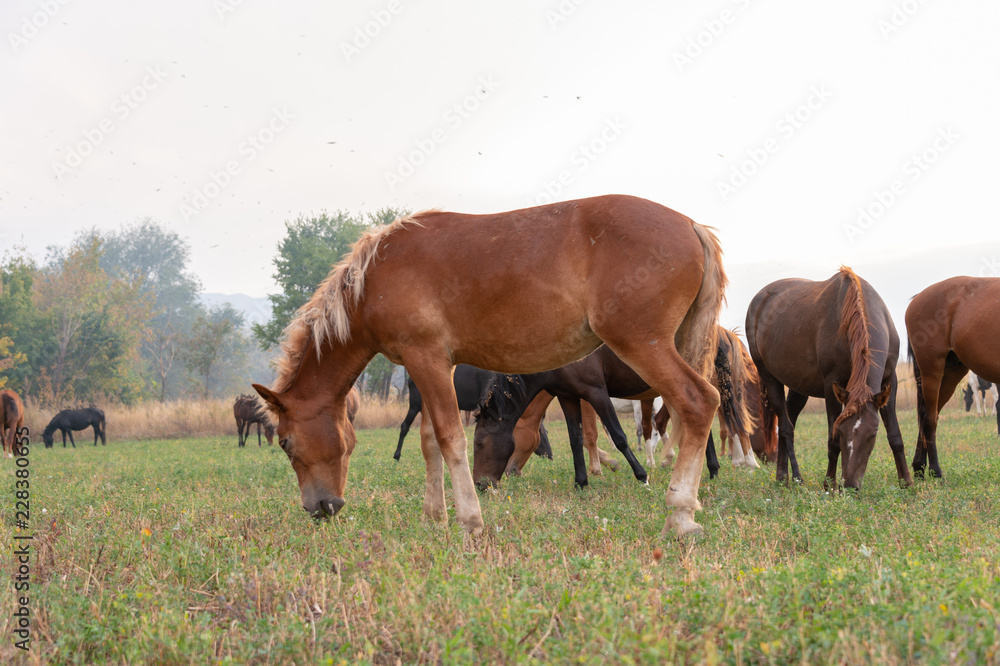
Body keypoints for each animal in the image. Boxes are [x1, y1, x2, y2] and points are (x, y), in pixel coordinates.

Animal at [252, 193, 728, 536]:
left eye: (285, 443)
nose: (320, 507)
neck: (375, 277)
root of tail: (690, 225)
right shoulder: (431, 367)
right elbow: (429, 442)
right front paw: (435, 515)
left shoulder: (426, 358)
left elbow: (449, 439)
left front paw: (470, 520)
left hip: (643, 344)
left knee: (699, 402)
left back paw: (680, 515)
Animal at [744, 266, 916, 488]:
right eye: (841, 432)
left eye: (872, 435)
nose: (850, 484)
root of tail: (758, 300)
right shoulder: (831, 385)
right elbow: (832, 442)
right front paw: (830, 485)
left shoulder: (889, 381)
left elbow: (895, 434)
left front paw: (907, 482)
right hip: (770, 378)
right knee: (785, 427)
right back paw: (795, 477)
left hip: (799, 387)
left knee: (788, 420)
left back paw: (783, 477)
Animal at [908, 274, 1000, 478]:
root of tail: (918, 298)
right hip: (932, 372)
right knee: (929, 419)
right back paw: (935, 471)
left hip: (951, 374)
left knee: (927, 414)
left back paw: (919, 467)